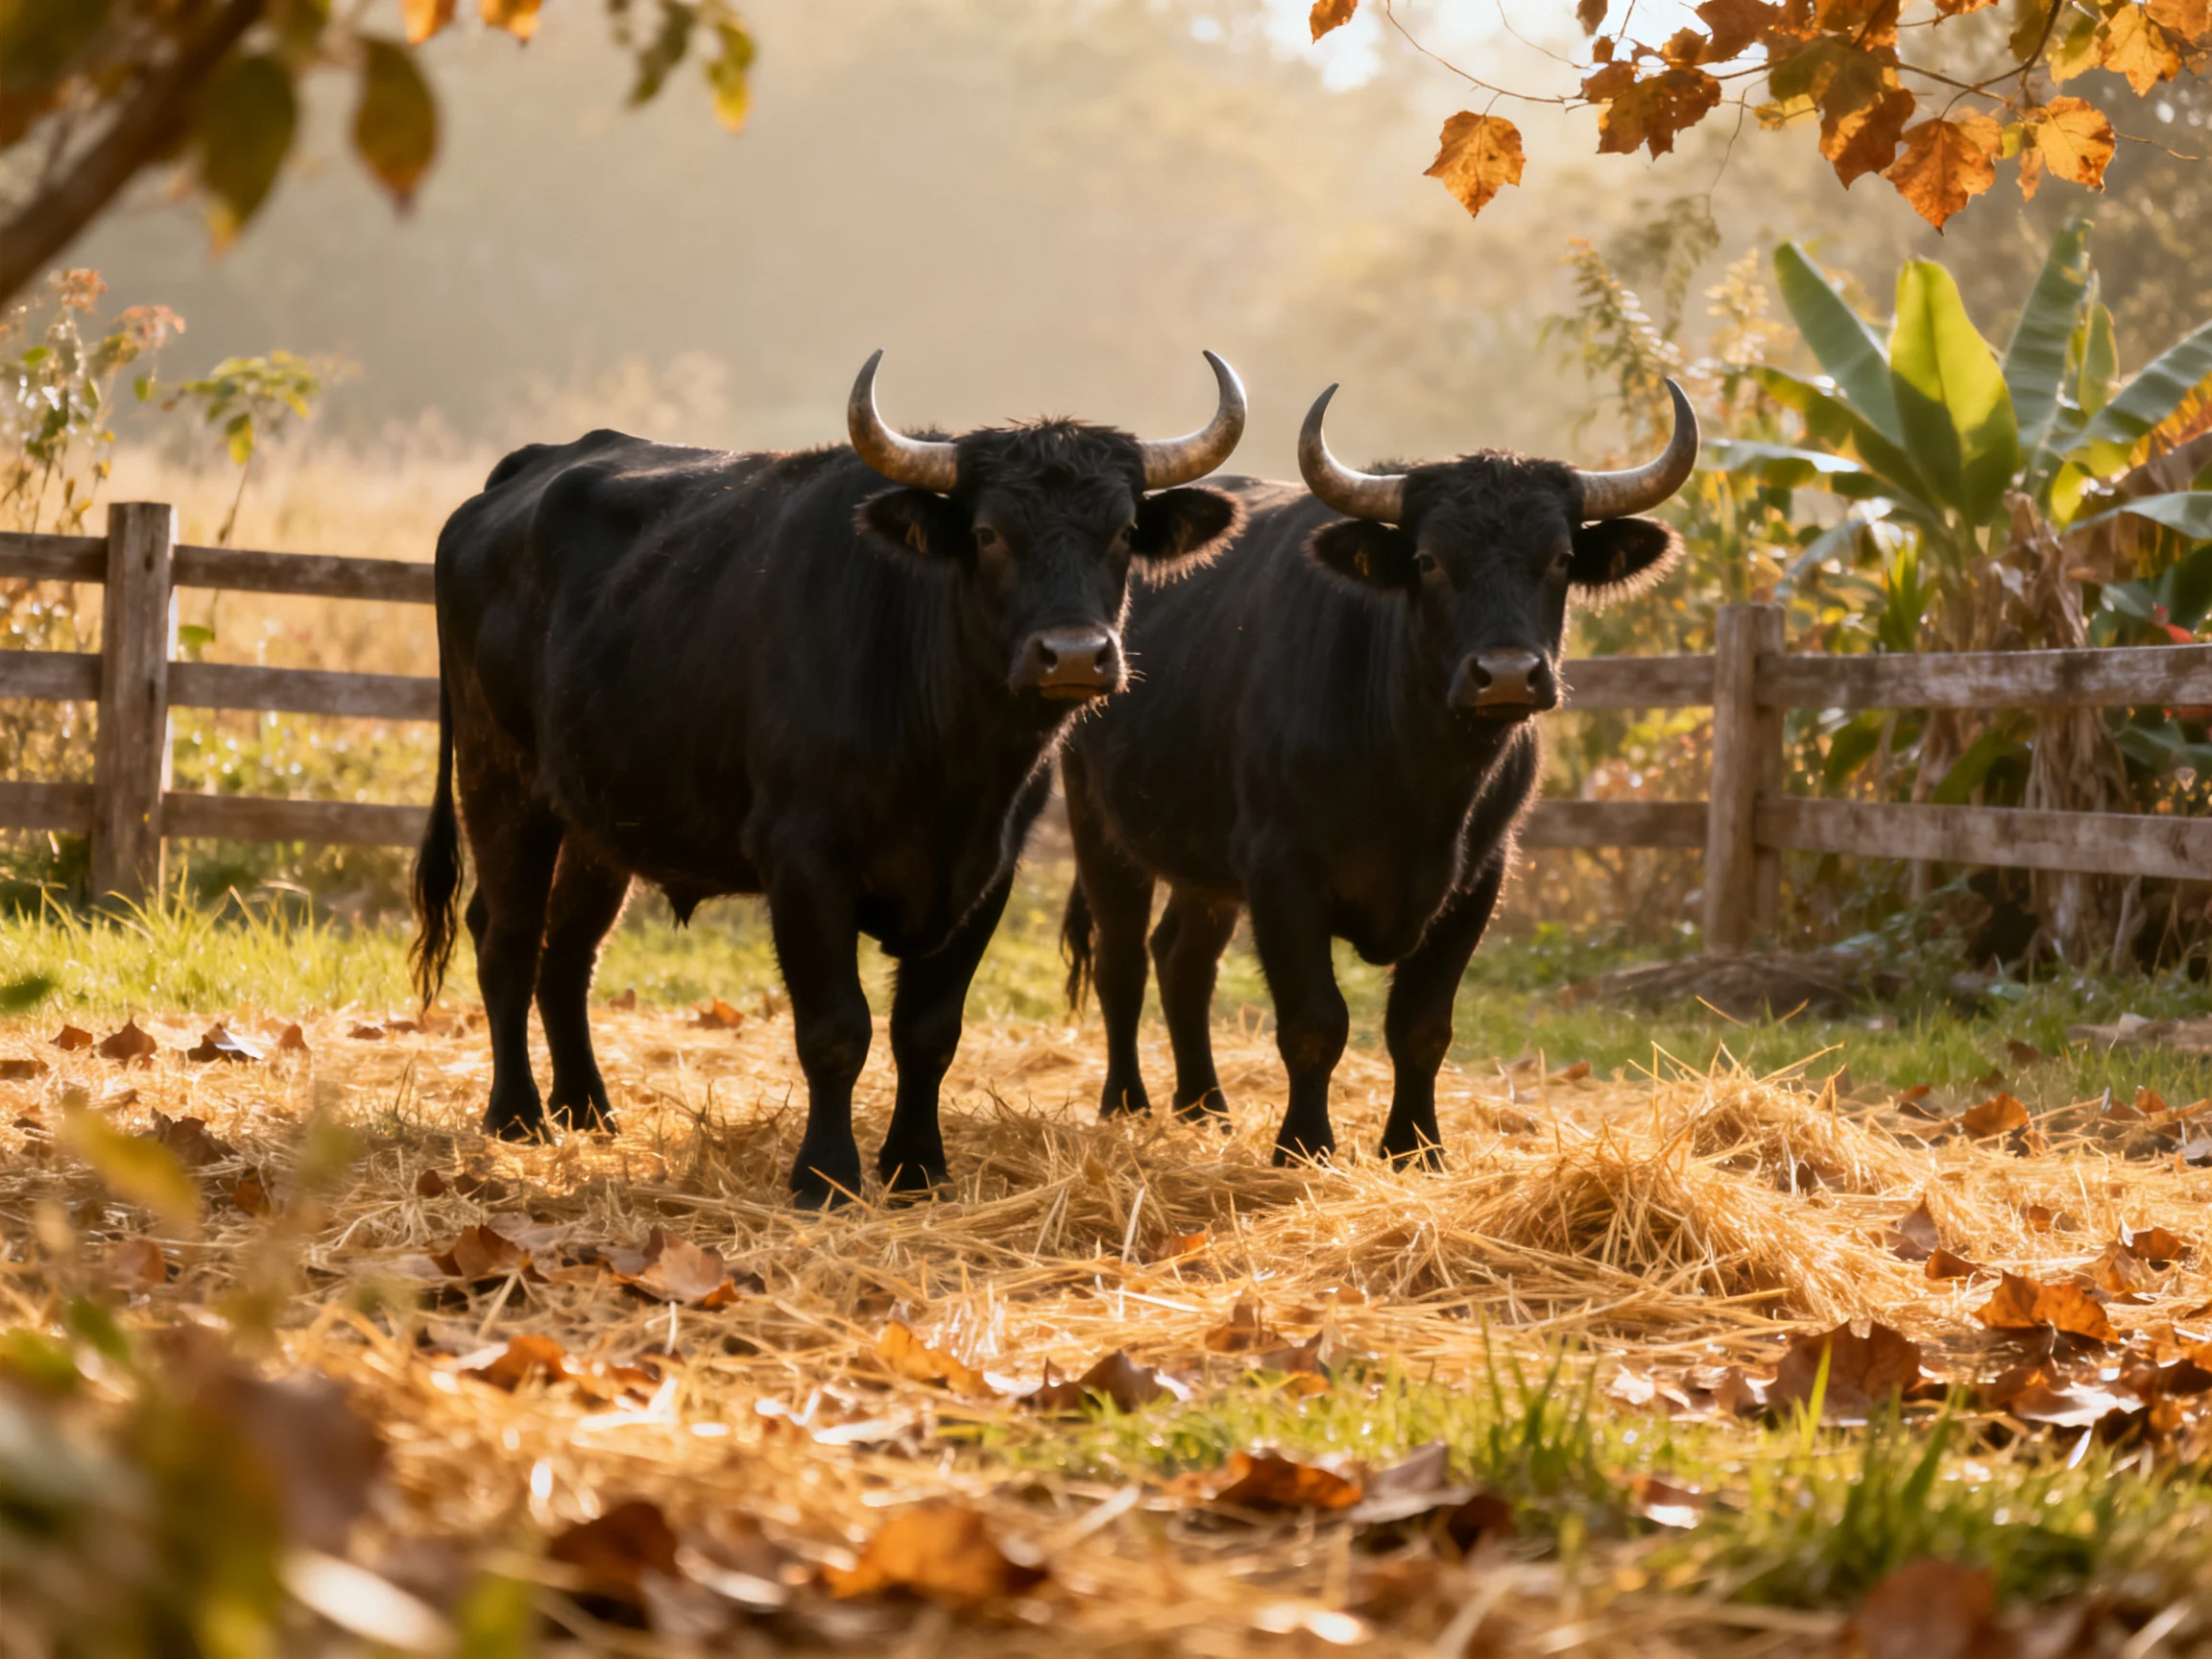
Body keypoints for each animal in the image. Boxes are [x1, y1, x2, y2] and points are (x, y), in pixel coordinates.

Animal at [410, 352, 1248, 1206]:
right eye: (988, 533)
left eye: (1123, 532)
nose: (1075, 654)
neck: (951, 762)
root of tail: (525, 471)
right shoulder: (804, 861)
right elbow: (836, 1029)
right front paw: (825, 1175)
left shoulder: (987, 874)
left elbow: (929, 1032)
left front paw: (918, 1168)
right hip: (499, 780)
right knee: (507, 939)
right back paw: (518, 1116)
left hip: (599, 816)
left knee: (569, 952)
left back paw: (588, 1109)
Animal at [1059, 379, 1698, 1168]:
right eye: (1428, 560)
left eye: (1559, 557)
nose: (1507, 674)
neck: (1418, 780)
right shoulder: (1281, 870)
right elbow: (1314, 1022)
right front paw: (1304, 1145)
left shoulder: (1479, 879)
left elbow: (1422, 1027)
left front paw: (1416, 1148)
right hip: (1097, 818)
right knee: (1121, 960)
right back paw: (1127, 1104)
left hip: (1202, 858)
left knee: (1182, 960)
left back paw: (1206, 1108)